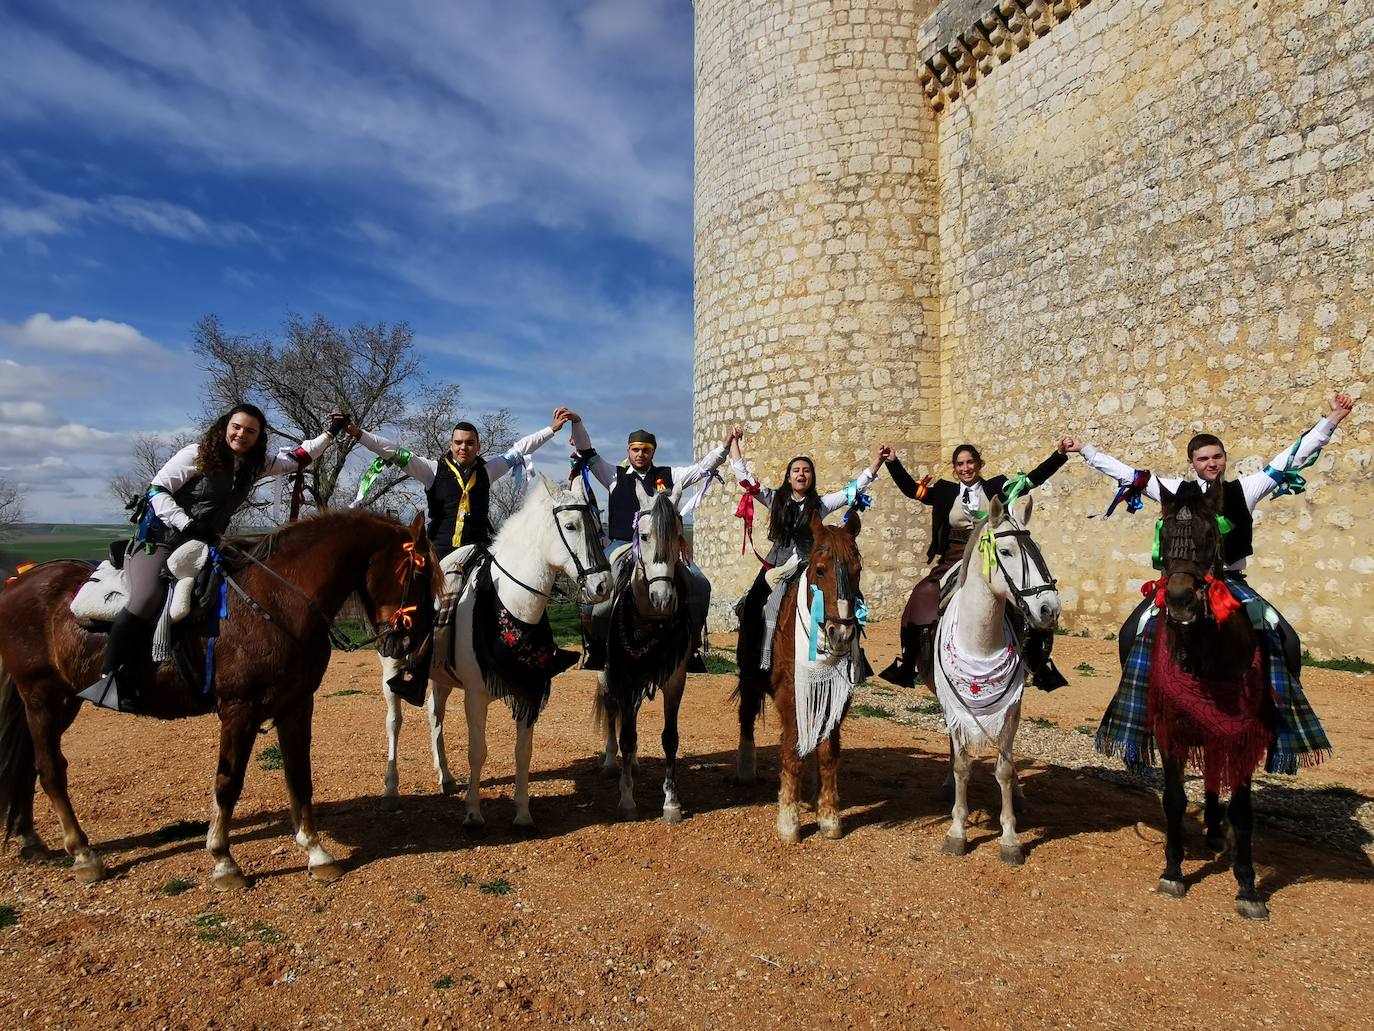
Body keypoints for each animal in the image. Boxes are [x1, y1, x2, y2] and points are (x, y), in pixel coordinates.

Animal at [0, 514, 436, 890]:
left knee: (29, 767)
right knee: (50, 771)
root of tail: (19, 583)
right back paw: (83, 854)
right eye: (418, 573)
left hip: (61, 702)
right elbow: (228, 782)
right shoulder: (240, 711)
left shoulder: (295, 705)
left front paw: (316, 852)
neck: (274, 600)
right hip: (41, 697)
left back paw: (31, 840)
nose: (409, 645)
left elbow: (299, 776)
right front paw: (224, 861)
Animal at [379, 475, 610, 830]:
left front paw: (523, 814)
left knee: (435, 714)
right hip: (392, 666)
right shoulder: (475, 695)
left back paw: (445, 776)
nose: (602, 585)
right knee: (395, 721)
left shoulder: (529, 693)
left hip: (441, 676)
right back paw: (392, 789)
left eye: (598, 526)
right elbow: (478, 751)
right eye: (570, 526)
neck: (509, 607)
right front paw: (473, 813)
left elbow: (523, 752)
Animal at [736, 514, 862, 841]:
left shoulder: (837, 697)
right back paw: (746, 769)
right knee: (746, 716)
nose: (840, 633)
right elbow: (792, 750)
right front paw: (788, 822)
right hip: (749, 677)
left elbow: (828, 753)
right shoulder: (790, 694)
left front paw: (829, 817)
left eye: (858, 570)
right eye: (820, 570)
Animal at [934, 497, 1060, 868]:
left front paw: (1010, 838)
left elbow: (1003, 768)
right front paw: (957, 831)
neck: (979, 643)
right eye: (1004, 551)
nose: (1049, 609)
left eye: (1037, 549)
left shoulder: (1011, 708)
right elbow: (962, 765)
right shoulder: (955, 706)